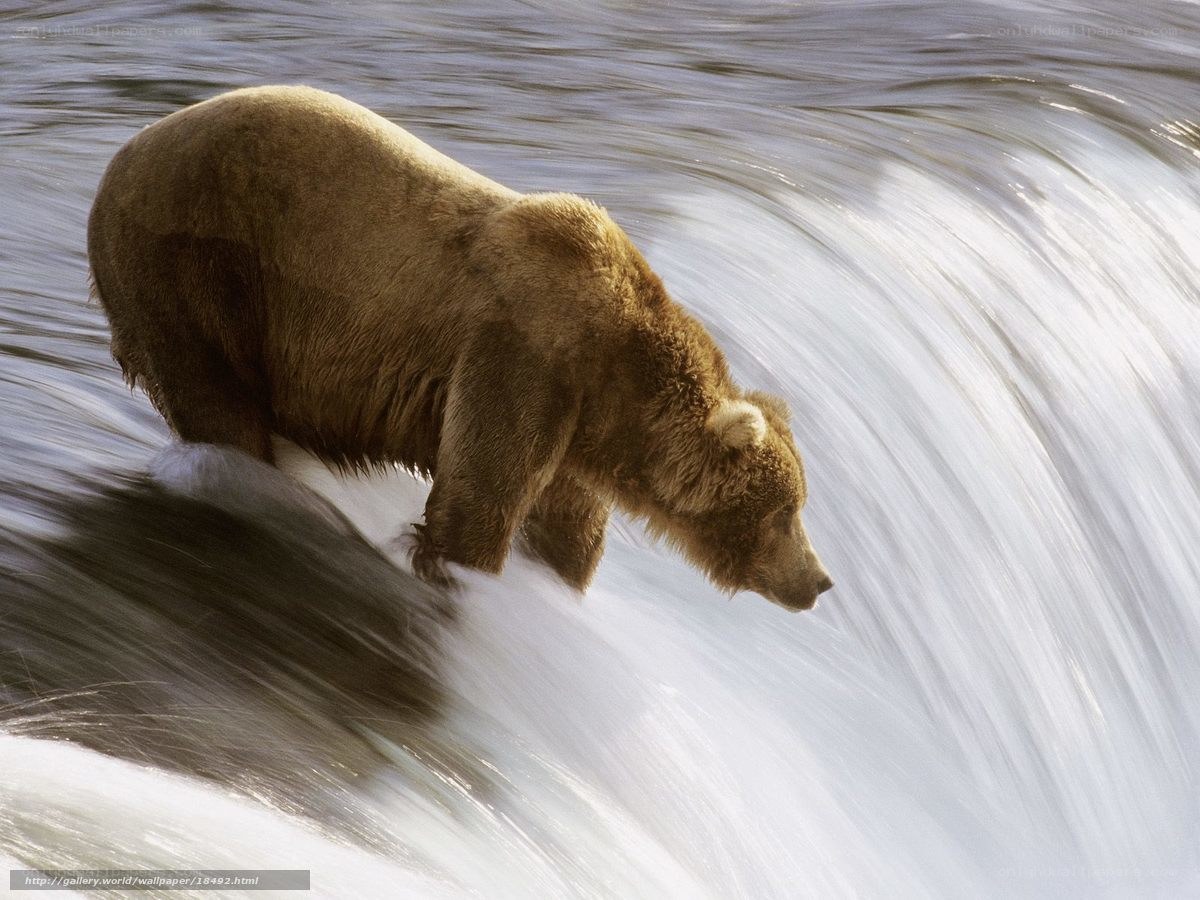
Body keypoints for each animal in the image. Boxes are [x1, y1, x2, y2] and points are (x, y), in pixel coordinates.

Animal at [87, 85, 834, 610]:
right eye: (785, 511)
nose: (820, 580)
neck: (615, 375)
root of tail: (120, 156)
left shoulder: (576, 427)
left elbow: (565, 530)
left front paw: (555, 581)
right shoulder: (524, 354)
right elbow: (480, 498)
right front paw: (461, 574)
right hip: (197, 266)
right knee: (218, 401)